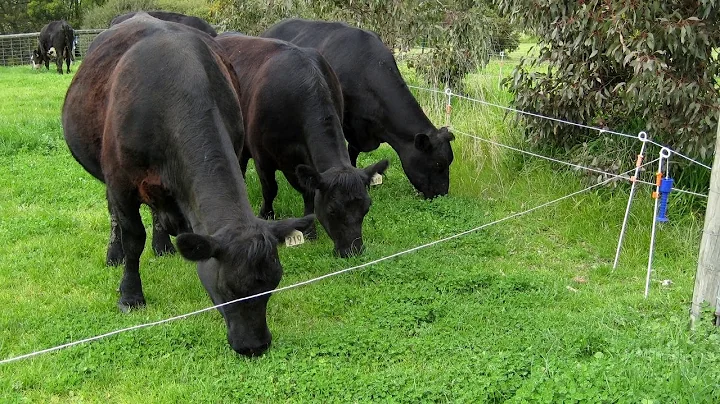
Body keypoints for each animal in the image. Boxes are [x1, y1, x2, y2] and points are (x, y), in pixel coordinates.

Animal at [62, 15, 314, 356]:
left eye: (274, 283)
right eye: (227, 288)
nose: (256, 346)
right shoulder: (121, 182)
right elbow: (133, 238)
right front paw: (130, 295)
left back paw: (163, 246)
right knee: (114, 212)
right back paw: (115, 253)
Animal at [216, 33, 388, 258]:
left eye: (366, 208)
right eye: (332, 210)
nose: (353, 250)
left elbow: (309, 193)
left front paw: (309, 230)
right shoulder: (263, 158)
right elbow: (270, 189)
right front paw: (267, 215)